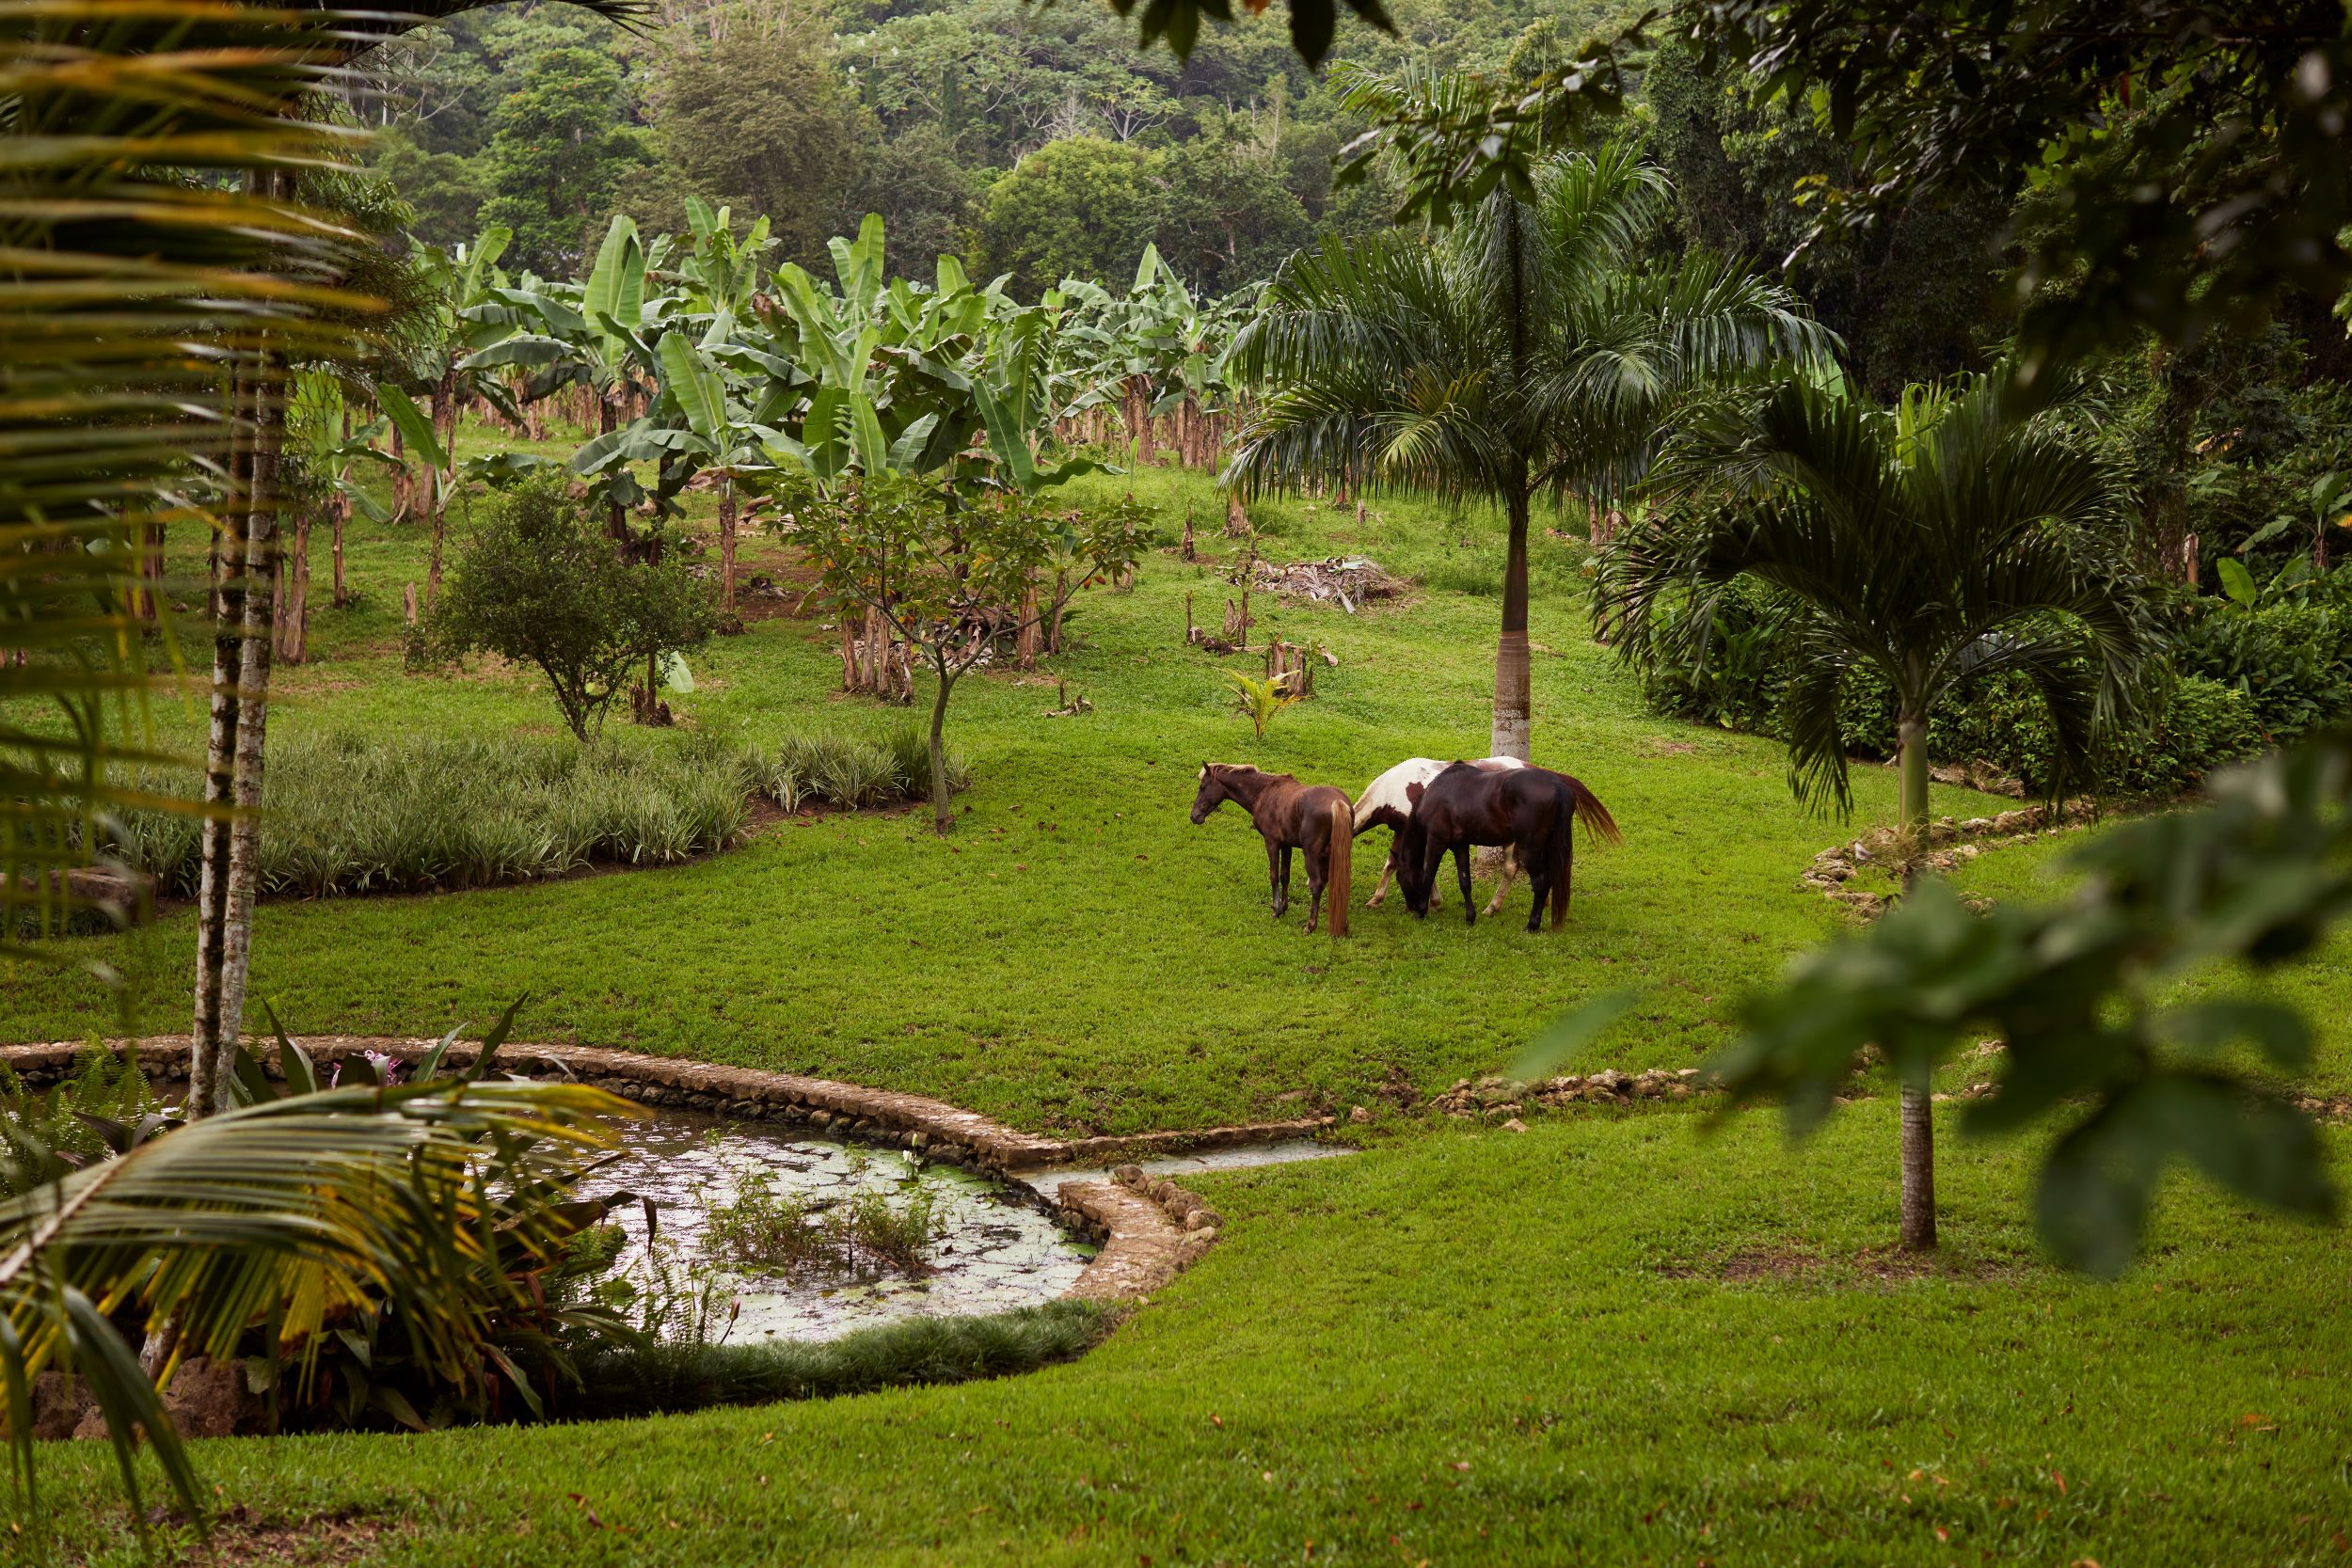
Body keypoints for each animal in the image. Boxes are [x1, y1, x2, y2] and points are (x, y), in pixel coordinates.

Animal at [1185, 770, 1355, 940]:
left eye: (1202, 786)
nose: (1194, 816)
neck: (1265, 793)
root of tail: (1338, 803)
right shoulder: (1286, 845)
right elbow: (1285, 876)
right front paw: (1284, 907)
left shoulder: (1271, 842)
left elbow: (1274, 875)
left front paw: (1276, 910)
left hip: (1312, 855)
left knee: (1316, 885)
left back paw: (1311, 926)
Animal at [1355, 752, 1534, 911]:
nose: (1410, 908)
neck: (1393, 788)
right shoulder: (1400, 831)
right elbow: (1391, 864)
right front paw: (1375, 900)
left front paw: (1434, 902)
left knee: (1510, 868)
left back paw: (1492, 907)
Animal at [1392, 761, 1618, 930]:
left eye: (1399, 877)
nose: (1410, 908)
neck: (1436, 793)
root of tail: (1559, 785)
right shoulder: (1460, 845)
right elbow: (1465, 881)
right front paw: (1470, 917)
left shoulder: (1436, 841)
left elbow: (1428, 874)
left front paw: (1422, 912)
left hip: (1530, 849)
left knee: (1541, 882)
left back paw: (1532, 925)